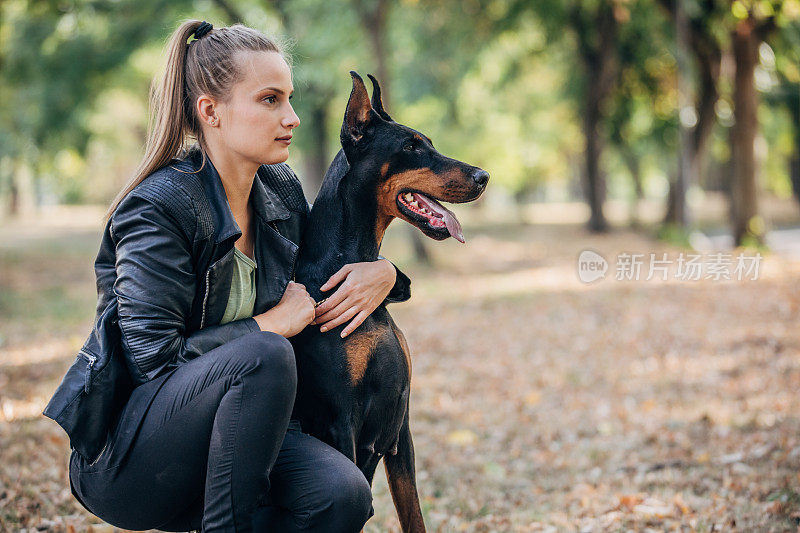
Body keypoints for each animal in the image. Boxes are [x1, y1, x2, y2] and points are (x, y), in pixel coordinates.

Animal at [290, 71, 484, 532]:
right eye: (410, 147)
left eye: (429, 141)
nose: (484, 176)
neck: (349, 259)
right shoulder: (339, 421)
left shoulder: (401, 432)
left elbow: (414, 514)